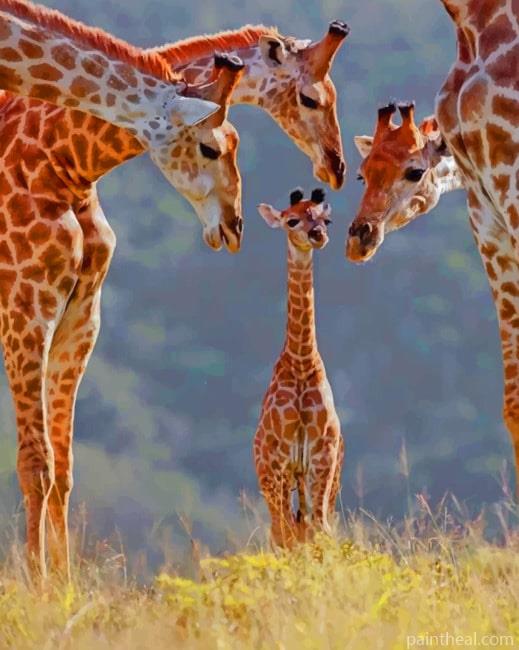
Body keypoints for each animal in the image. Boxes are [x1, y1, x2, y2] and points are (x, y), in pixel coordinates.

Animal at [0, 0, 246, 578]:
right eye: (210, 147)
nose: (234, 226)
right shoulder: (24, 306)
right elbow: (35, 462)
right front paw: (39, 586)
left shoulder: (79, 317)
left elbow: (63, 468)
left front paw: (63, 583)